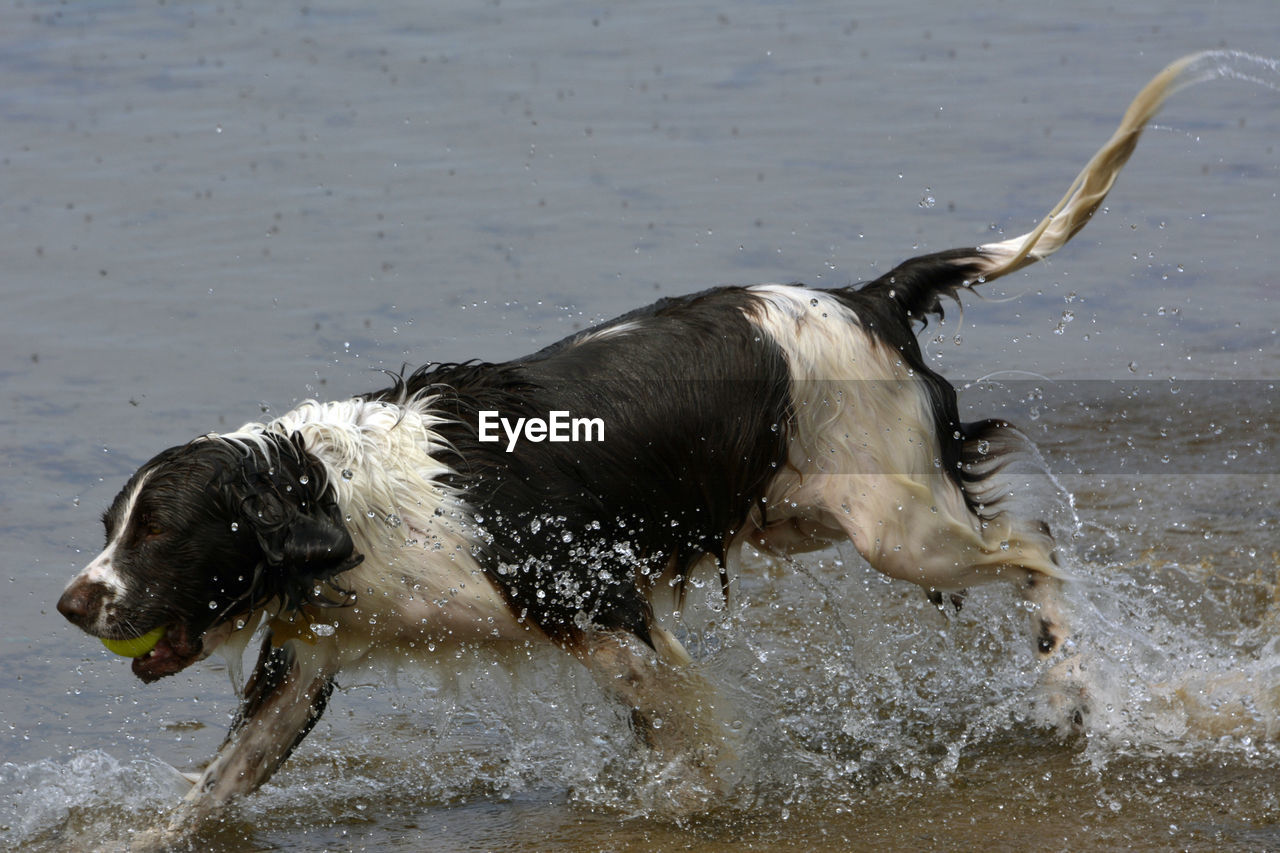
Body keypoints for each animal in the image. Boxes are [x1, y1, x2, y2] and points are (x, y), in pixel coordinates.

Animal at [57, 54, 1218, 845]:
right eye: (110, 525)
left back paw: (1072, 683)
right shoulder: (304, 662)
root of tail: (867, 297)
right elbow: (217, 782)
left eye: (159, 533)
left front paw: (702, 797)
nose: (71, 602)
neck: (343, 502)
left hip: (895, 525)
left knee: (1032, 548)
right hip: (806, 511)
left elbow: (691, 724)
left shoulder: (597, 605)